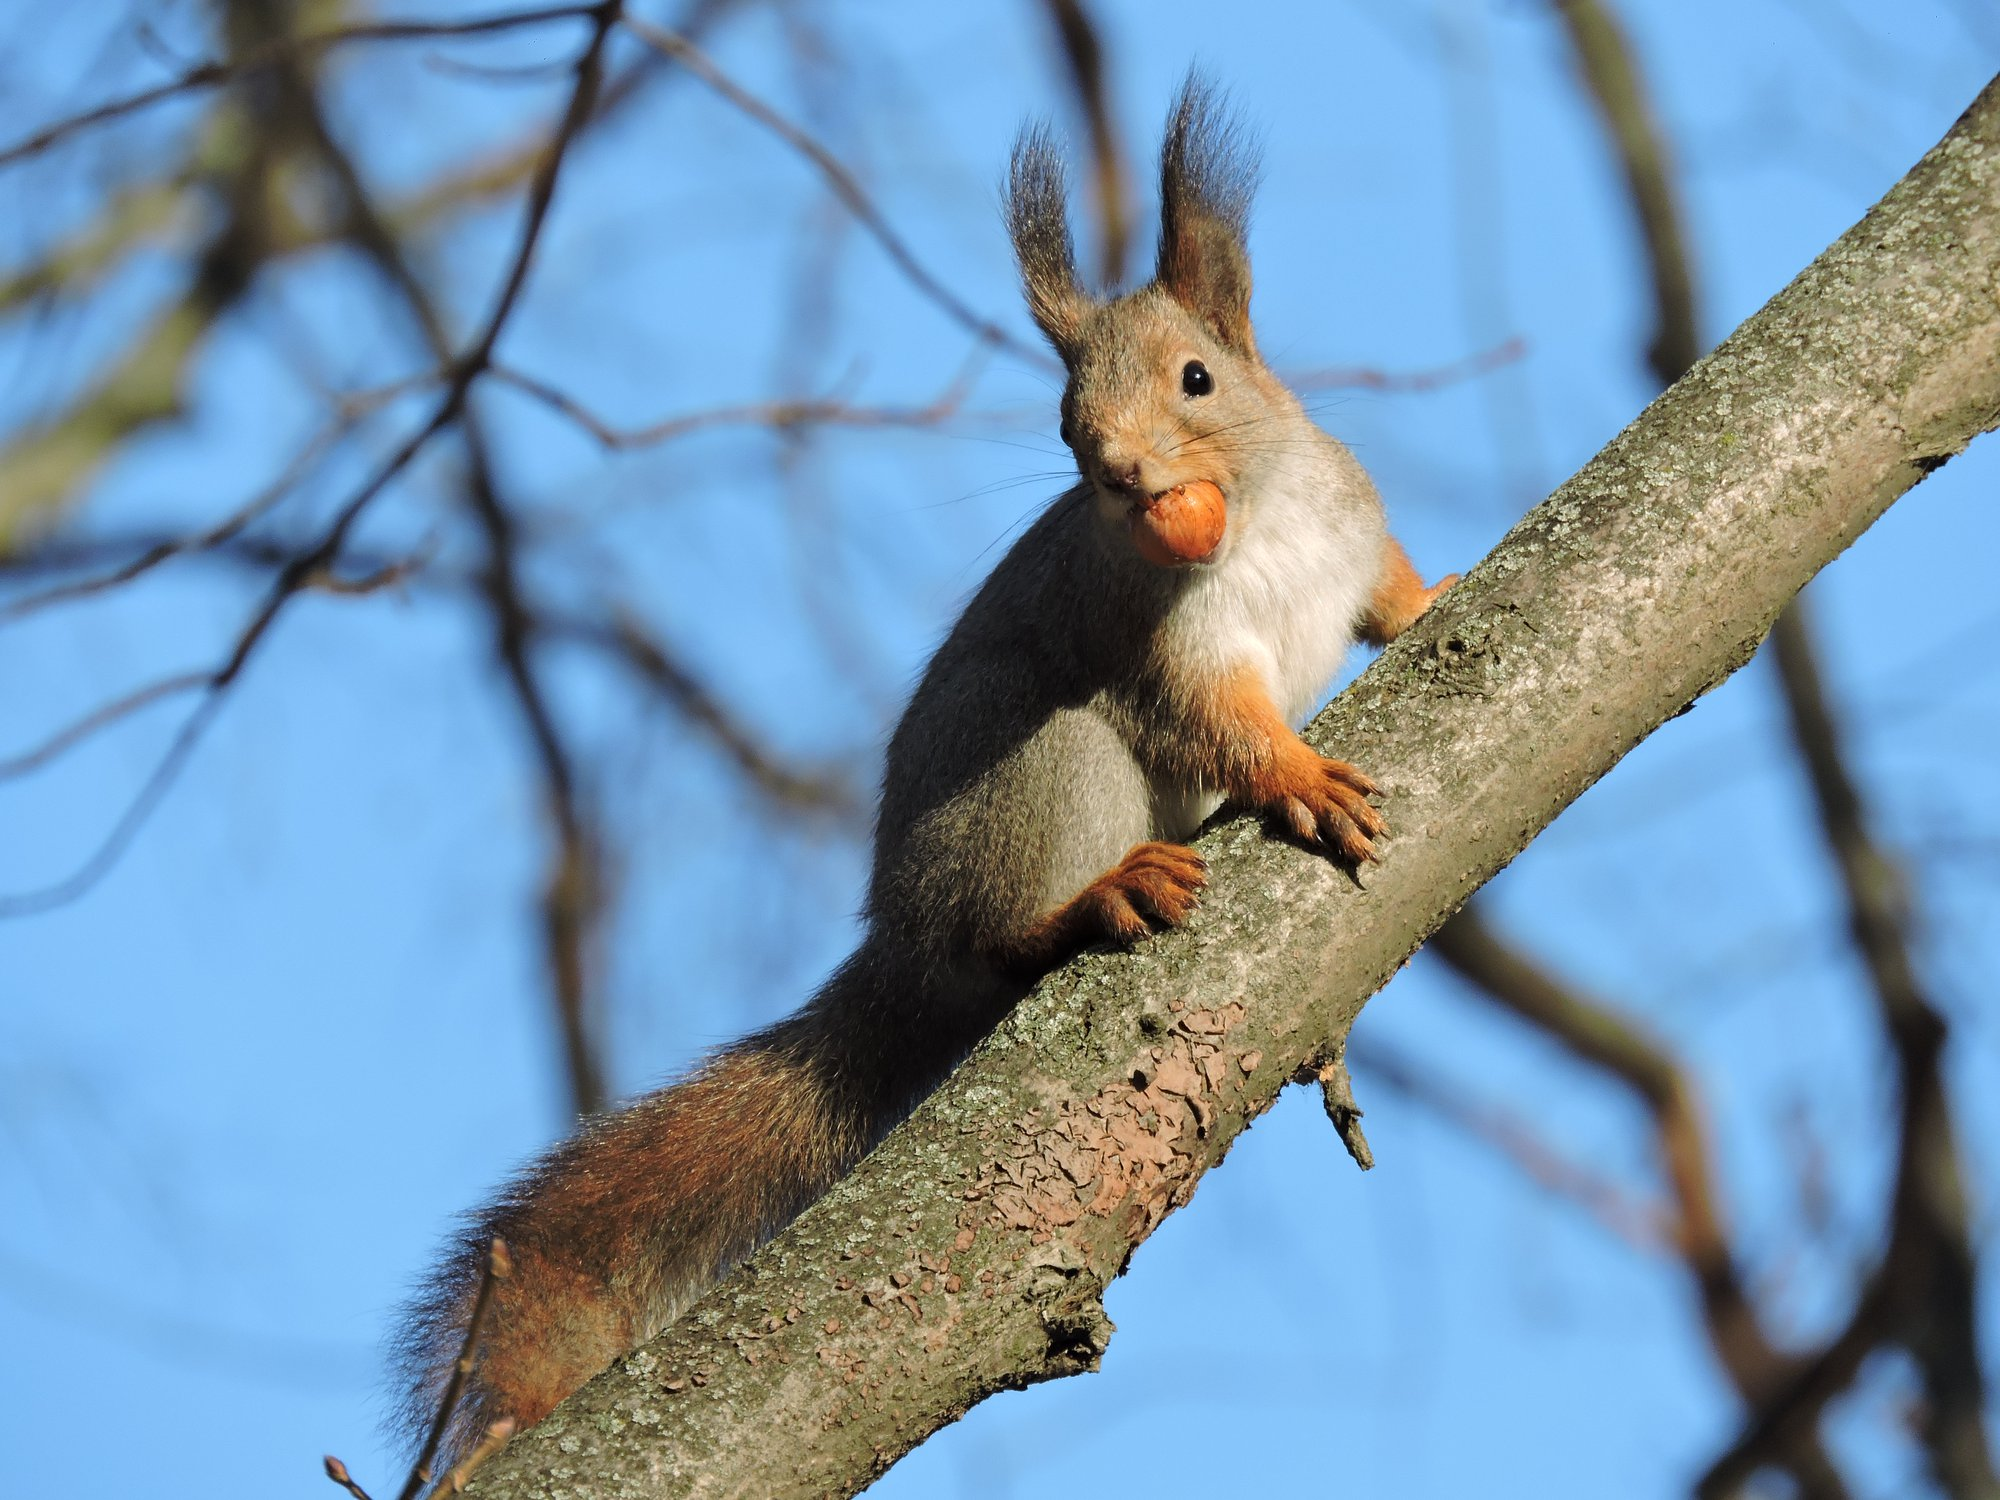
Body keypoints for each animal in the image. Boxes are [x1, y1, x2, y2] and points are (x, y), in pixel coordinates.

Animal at [390, 76, 1456, 1472]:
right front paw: (1297, 776)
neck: (1253, 518)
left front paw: (1435, 597)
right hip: (1044, 773)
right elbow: (1216, 726)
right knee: (1005, 930)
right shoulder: (1157, 643)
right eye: (1063, 417)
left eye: (1197, 377)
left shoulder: (1347, 529)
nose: (1118, 471)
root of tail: (899, 941)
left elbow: (1386, 597)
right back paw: (1093, 901)